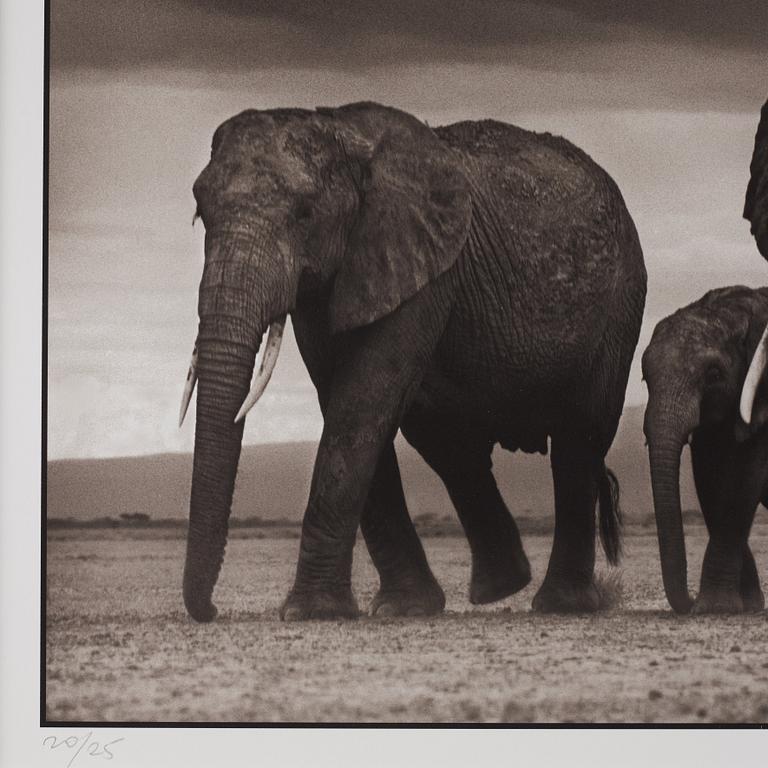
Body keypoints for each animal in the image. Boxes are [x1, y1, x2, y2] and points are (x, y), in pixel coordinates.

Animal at [179, 101, 647, 622]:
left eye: (304, 215)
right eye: (199, 213)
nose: (211, 611)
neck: (341, 131)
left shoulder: (424, 266)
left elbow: (361, 402)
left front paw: (310, 612)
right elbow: (344, 401)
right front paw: (399, 608)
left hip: (620, 306)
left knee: (579, 437)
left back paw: (559, 605)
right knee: (445, 439)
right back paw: (501, 588)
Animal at [642, 286, 768, 614]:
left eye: (713, 374)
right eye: (645, 377)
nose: (689, 601)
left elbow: (745, 478)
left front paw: (716, 607)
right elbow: (710, 480)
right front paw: (744, 605)